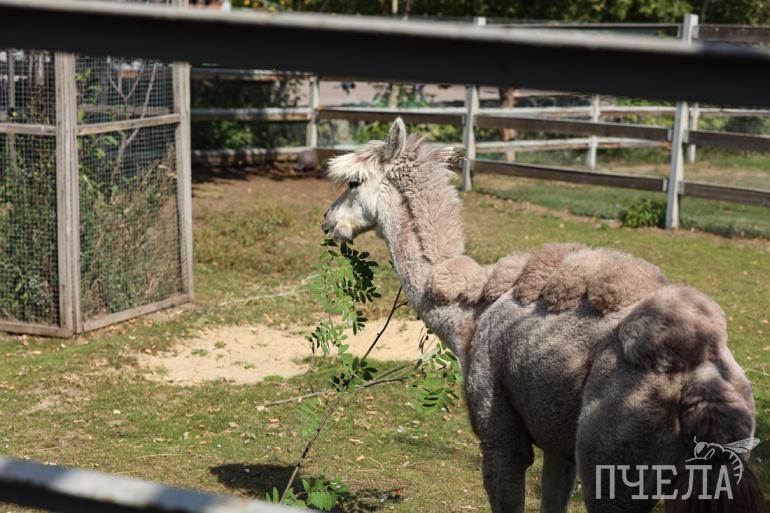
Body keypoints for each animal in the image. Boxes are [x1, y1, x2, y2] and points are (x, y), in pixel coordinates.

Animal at [320, 118, 765, 513]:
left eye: (353, 182)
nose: (328, 220)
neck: (468, 318)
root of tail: (704, 386)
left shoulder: (500, 435)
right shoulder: (558, 441)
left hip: (613, 460)